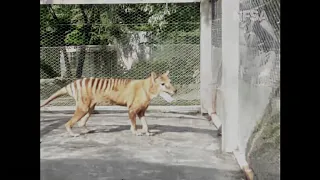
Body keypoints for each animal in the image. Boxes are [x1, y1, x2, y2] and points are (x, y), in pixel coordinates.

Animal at [40, 70, 178, 136]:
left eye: (170, 82)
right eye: (163, 84)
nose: (175, 90)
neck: (146, 88)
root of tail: (72, 83)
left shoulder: (141, 112)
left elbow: (146, 124)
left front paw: (147, 132)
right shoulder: (132, 110)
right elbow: (134, 124)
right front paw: (135, 132)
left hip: (90, 108)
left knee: (81, 123)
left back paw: (86, 130)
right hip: (83, 108)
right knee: (69, 123)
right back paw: (72, 134)